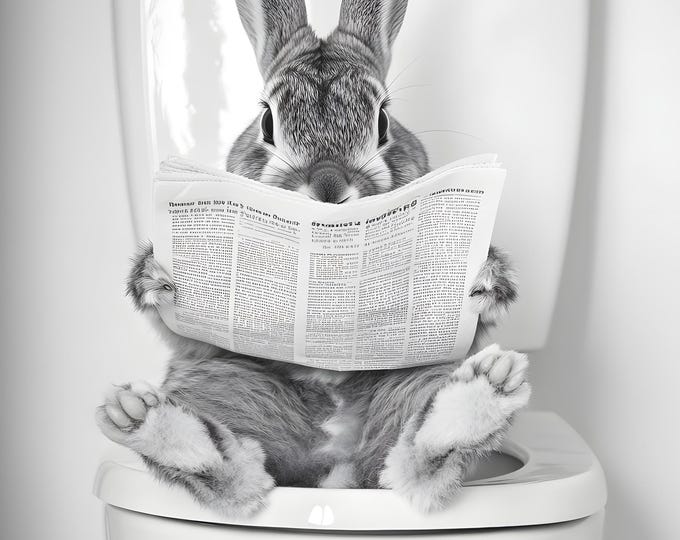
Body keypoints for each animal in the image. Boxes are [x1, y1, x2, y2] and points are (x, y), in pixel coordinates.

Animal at [96, 0, 530, 517]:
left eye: (383, 121)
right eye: (267, 122)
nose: (328, 186)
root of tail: (333, 474)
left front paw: (482, 278)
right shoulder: (200, 344)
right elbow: (177, 328)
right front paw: (154, 277)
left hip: (423, 376)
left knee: (416, 459)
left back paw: (483, 390)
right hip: (220, 381)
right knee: (238, 475)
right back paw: (140, 416)